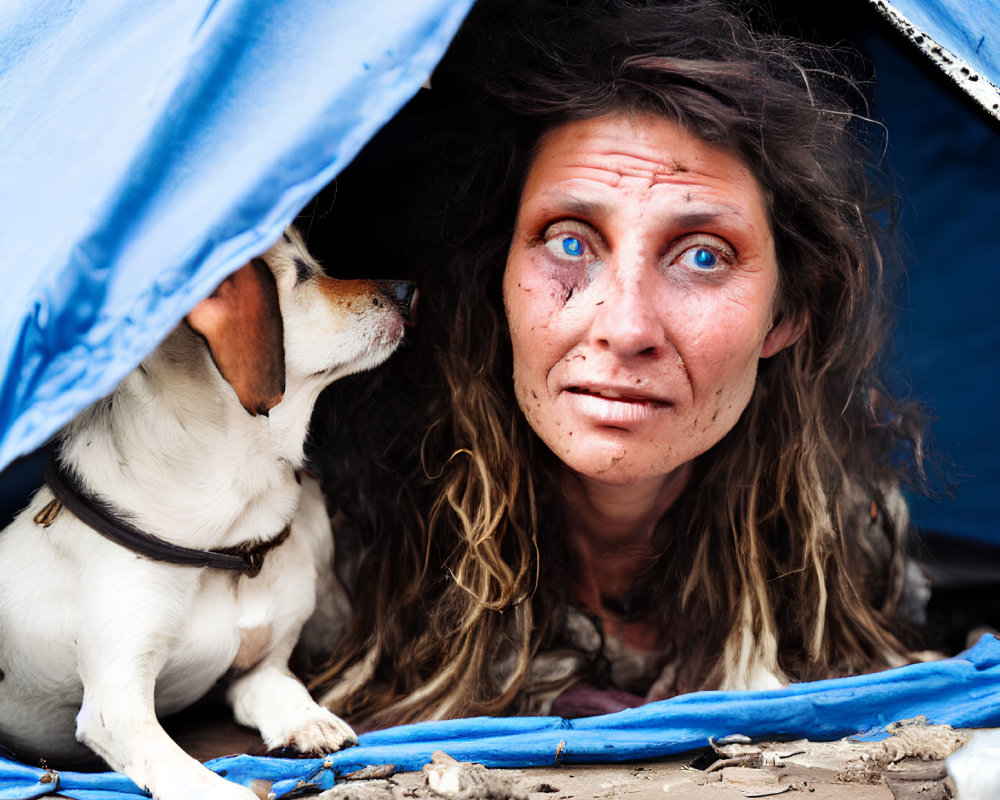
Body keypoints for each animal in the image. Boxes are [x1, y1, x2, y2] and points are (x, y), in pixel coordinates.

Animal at [0, 228, 416, 800]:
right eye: (300, 272)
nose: (408, 288)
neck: (230, 531)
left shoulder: (260, 667)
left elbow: (281, 691)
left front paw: (309, 720)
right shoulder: (118, 702)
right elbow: (188, 773)